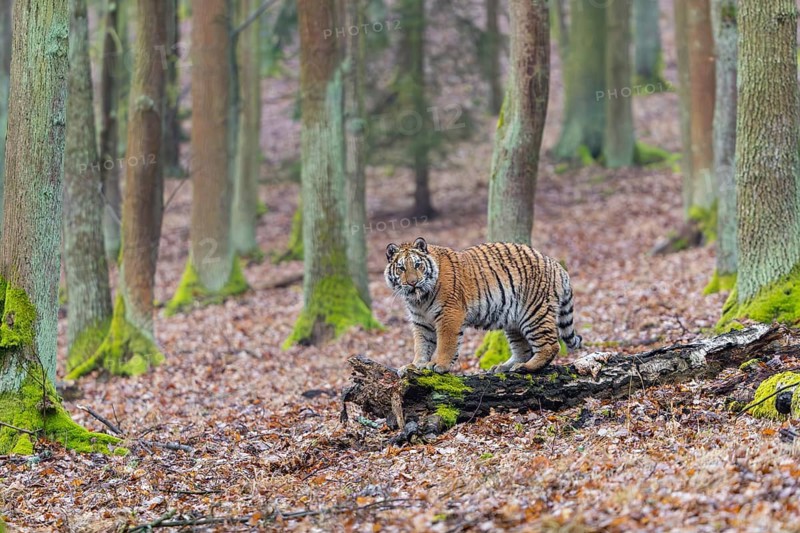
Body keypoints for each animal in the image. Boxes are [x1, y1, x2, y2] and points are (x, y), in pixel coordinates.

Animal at [385, 237, 582, 376]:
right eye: (401, 268)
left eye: (417, 265)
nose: (412, 283)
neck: (419, 299)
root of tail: (557, 265)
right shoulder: (421, 322)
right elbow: (422, 345)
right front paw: (414, 365)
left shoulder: (449, 313)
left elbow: (446, 343)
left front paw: (439, 364)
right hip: (514, 321)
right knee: (523, 349)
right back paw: (504, 367)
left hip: (534, 312)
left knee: (550, 345)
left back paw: (525, 367)